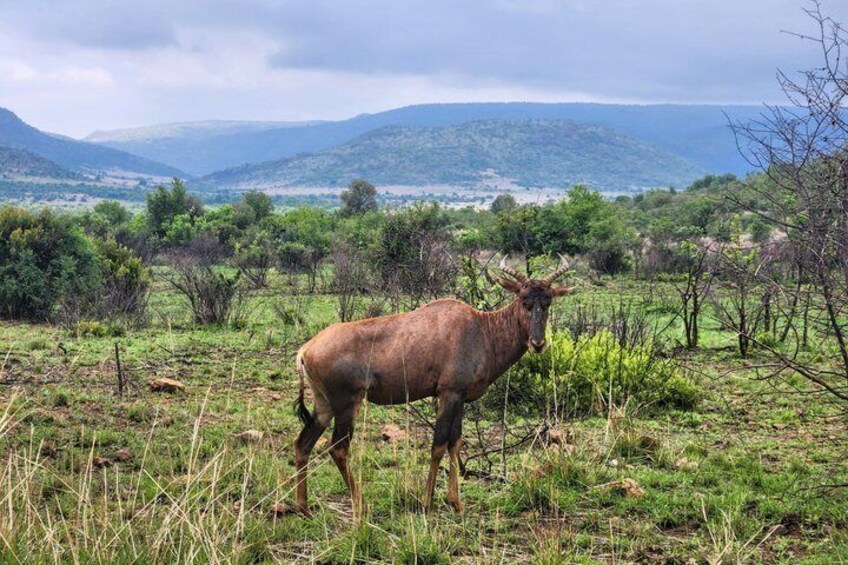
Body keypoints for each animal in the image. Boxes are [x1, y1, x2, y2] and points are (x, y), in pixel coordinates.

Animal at [292, 257, 574, 515]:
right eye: (524, 300)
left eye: (547, 302)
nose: (538, 343)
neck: (479, 328)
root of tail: (306, 349)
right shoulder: (447, 395)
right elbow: (438, 445)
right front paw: (426, 502)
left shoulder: (459, 398)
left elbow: (455, 443)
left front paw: (456, 503)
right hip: (347, 404)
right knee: (338, 448)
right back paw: (360, 504)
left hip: (324, 405)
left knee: (303, 443)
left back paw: (304, 507)